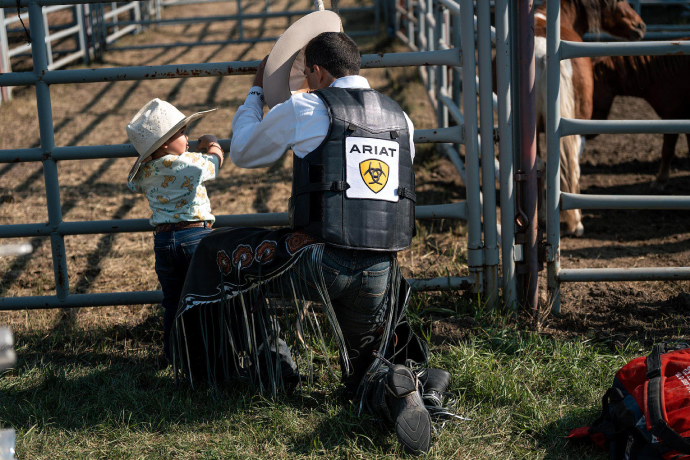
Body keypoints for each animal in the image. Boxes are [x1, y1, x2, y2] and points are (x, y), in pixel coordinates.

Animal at [532, 0, 644, 235]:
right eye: (618, 2)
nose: (640, 26)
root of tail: (543, 54)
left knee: (543, 164)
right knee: (572, 164)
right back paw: (575, 223)